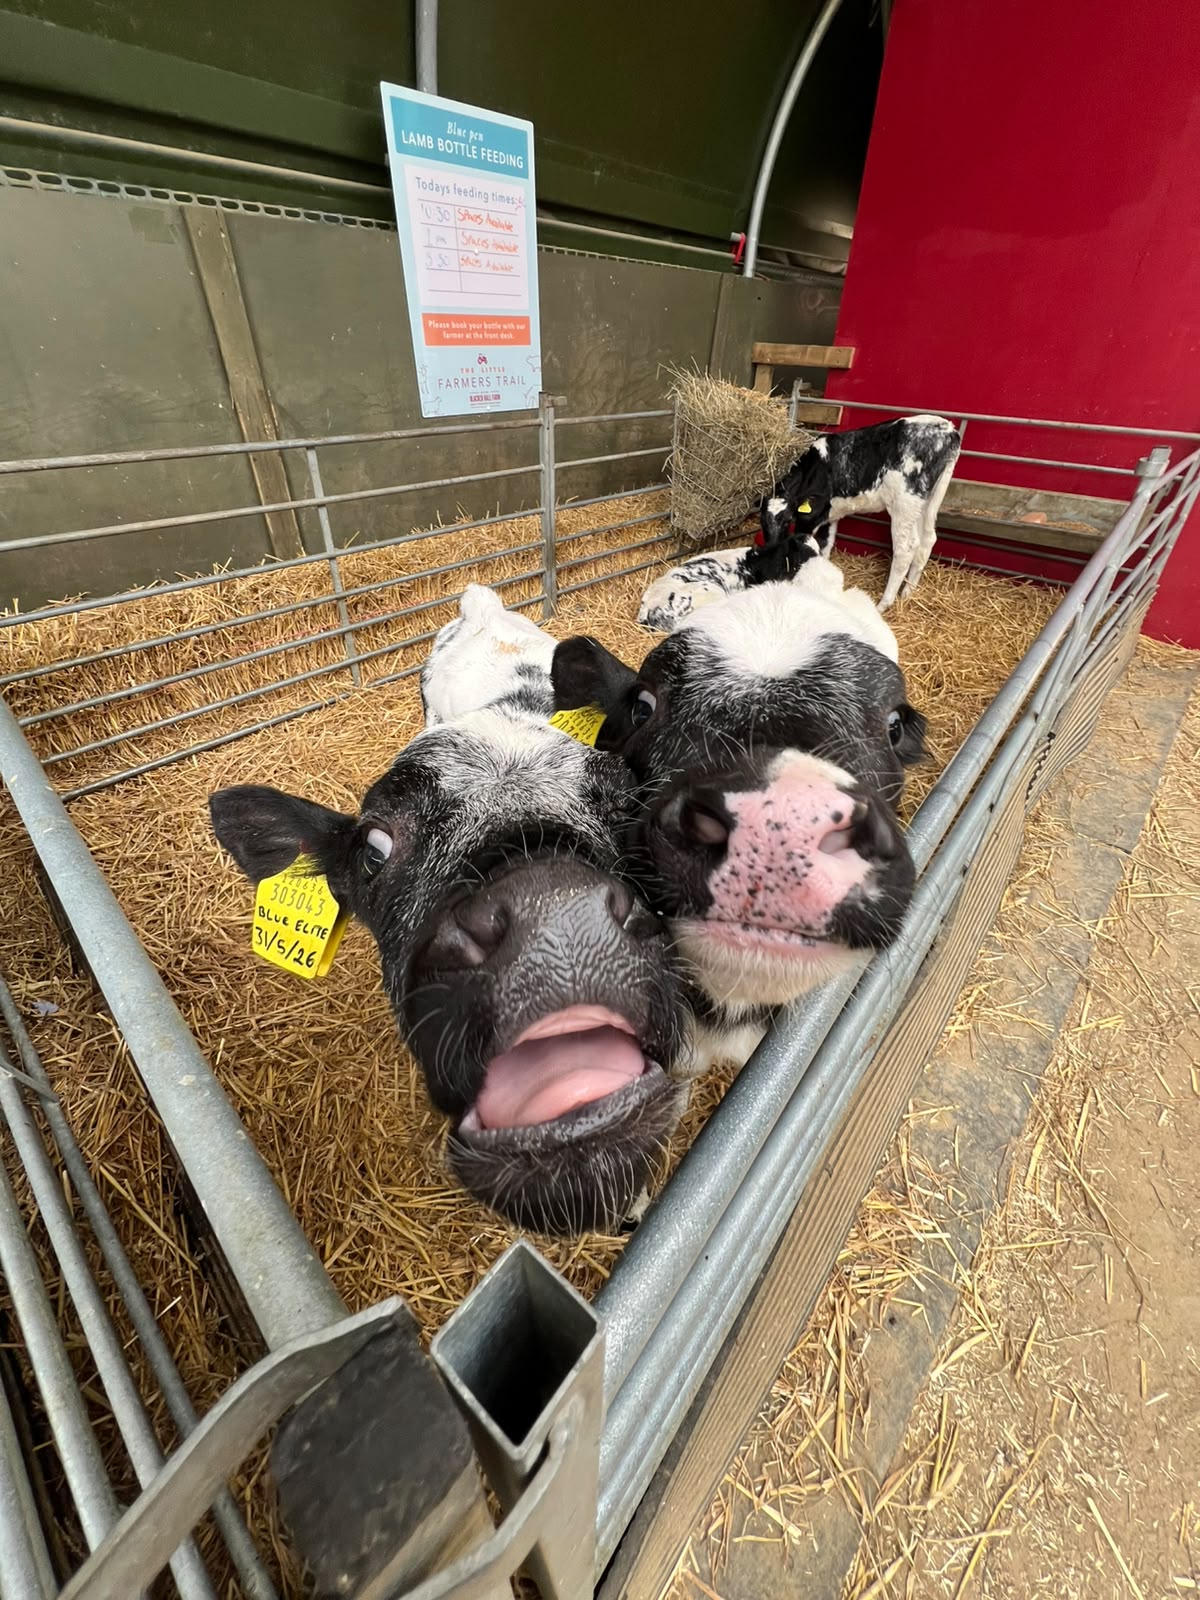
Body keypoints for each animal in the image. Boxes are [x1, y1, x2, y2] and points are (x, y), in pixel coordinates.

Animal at [761, 415, 962, 611]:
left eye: (787, 520)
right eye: (762, 523)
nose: (771, 545)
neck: (814, 470)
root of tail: (948, 429)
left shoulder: (809, 516)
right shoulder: (829, 515)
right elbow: (825, 544)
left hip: (905, 503)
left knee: (906, 548)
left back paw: (883, 604)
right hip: (927, 503)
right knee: (927, 541)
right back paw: (907, 594)